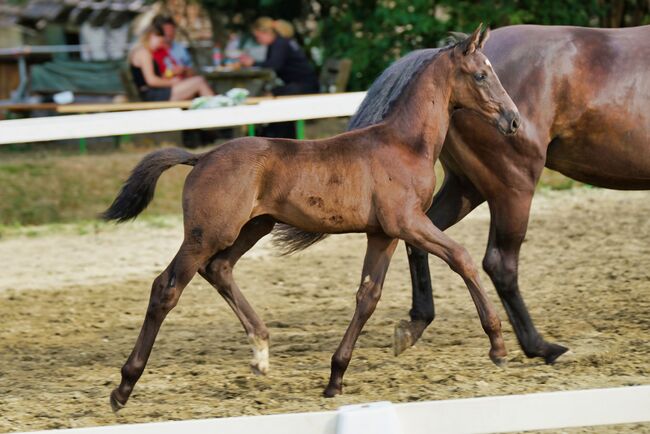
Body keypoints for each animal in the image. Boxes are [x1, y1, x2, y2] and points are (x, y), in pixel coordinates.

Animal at [103, 26, 520, 410]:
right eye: (480, 75)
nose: (513, 121)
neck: (404, 144)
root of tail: (201, 157)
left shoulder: (383, 233)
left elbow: (368, 296)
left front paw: (335, 378)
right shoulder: (408, 222)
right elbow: (461, 257)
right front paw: (498, 346)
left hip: (253, 227)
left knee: (218, 269)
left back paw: (261, 353)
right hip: (207, 234)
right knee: (167, 287)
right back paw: (123, 387)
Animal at [393, 24, 650, 363]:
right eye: (481, 76)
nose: (511, 119)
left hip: (467, 187)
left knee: (422, 238)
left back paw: (415, 323)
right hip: (513, 188)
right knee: (500, 263)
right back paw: (540, 346)